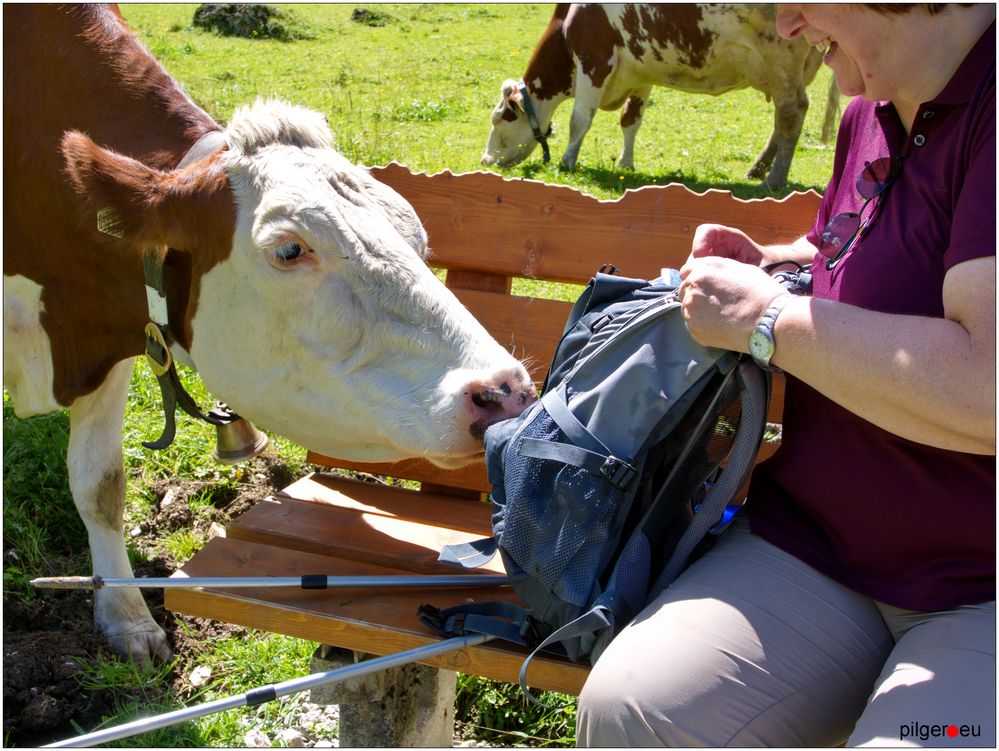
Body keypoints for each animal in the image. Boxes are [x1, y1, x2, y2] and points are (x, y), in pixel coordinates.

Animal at [3, 4, 536, 664]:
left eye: (416, 234)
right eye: (288, 249)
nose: (505, 391)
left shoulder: (117, 330)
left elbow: (100, 482)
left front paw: (125, 617)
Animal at [480, 3, 840, 188]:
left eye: (499, 119)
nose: (485, 161)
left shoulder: (594, 59)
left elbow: (579, 119)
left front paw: (568, 160)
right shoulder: (640, 70)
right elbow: (631, 120)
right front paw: (626, 163)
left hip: (782, 55)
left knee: (791, 112)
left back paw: (774, 179)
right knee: (783, 117)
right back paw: (758, 169)